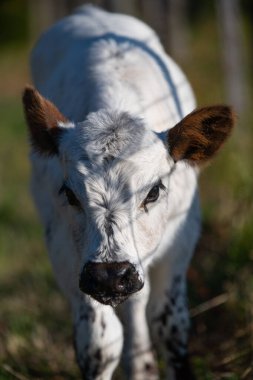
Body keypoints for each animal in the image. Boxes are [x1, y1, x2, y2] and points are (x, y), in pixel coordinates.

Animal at [22, 5, 234, 380]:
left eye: (154, 191)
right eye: (70, 195)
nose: (110, 276)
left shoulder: (182, 238)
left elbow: (169, 324)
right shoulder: (66, 250)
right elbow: (100, 342)